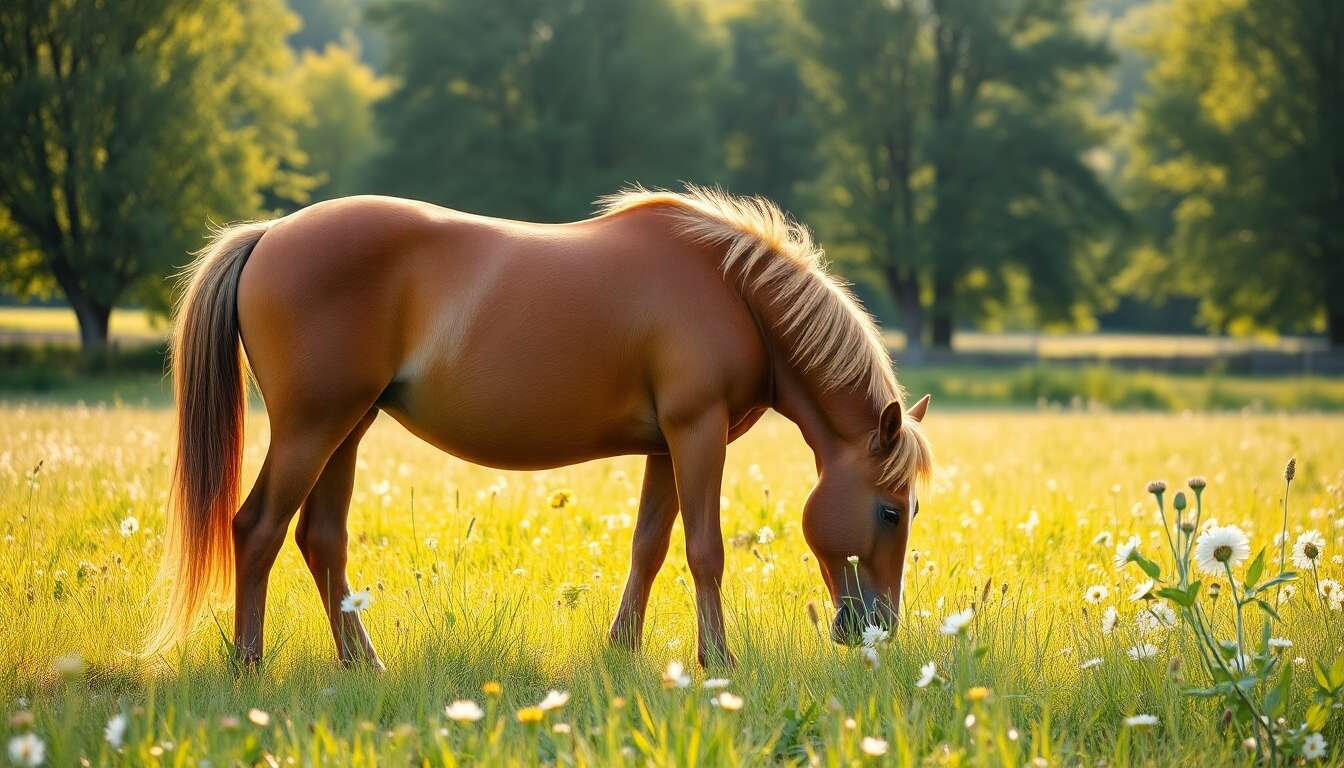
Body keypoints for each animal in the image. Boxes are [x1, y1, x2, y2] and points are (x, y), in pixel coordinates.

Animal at [147, 186, 933, 670]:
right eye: (892, 512)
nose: (878, 630)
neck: (731, 288)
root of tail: (269, 234)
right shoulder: (697, 432)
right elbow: (704, 551)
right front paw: (718, 661)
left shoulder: (666, 446)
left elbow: (648, 548)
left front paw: (623, 649)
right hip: (313, 428)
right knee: (257, 529)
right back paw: (250, 666)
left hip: (348, 428)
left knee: (321, 540)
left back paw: (364, 663)